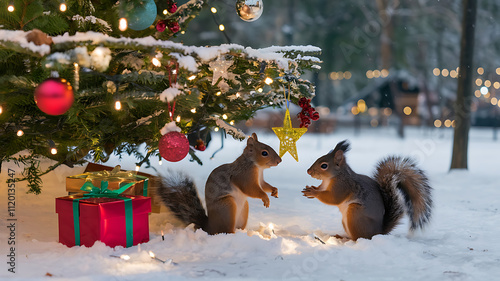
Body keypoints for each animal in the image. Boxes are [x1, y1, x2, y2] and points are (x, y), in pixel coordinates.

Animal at [302, 139, 432, 238]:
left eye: (324, 165)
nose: (308, 171)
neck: (331, 178)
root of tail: (378, 232)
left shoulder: (343, 186)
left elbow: (333, 198)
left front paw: (313, 192)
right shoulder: (324, 185)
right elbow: (321, 189)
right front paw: (311, 189)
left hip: (354, 214)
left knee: (357, 238)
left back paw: (344, 239)